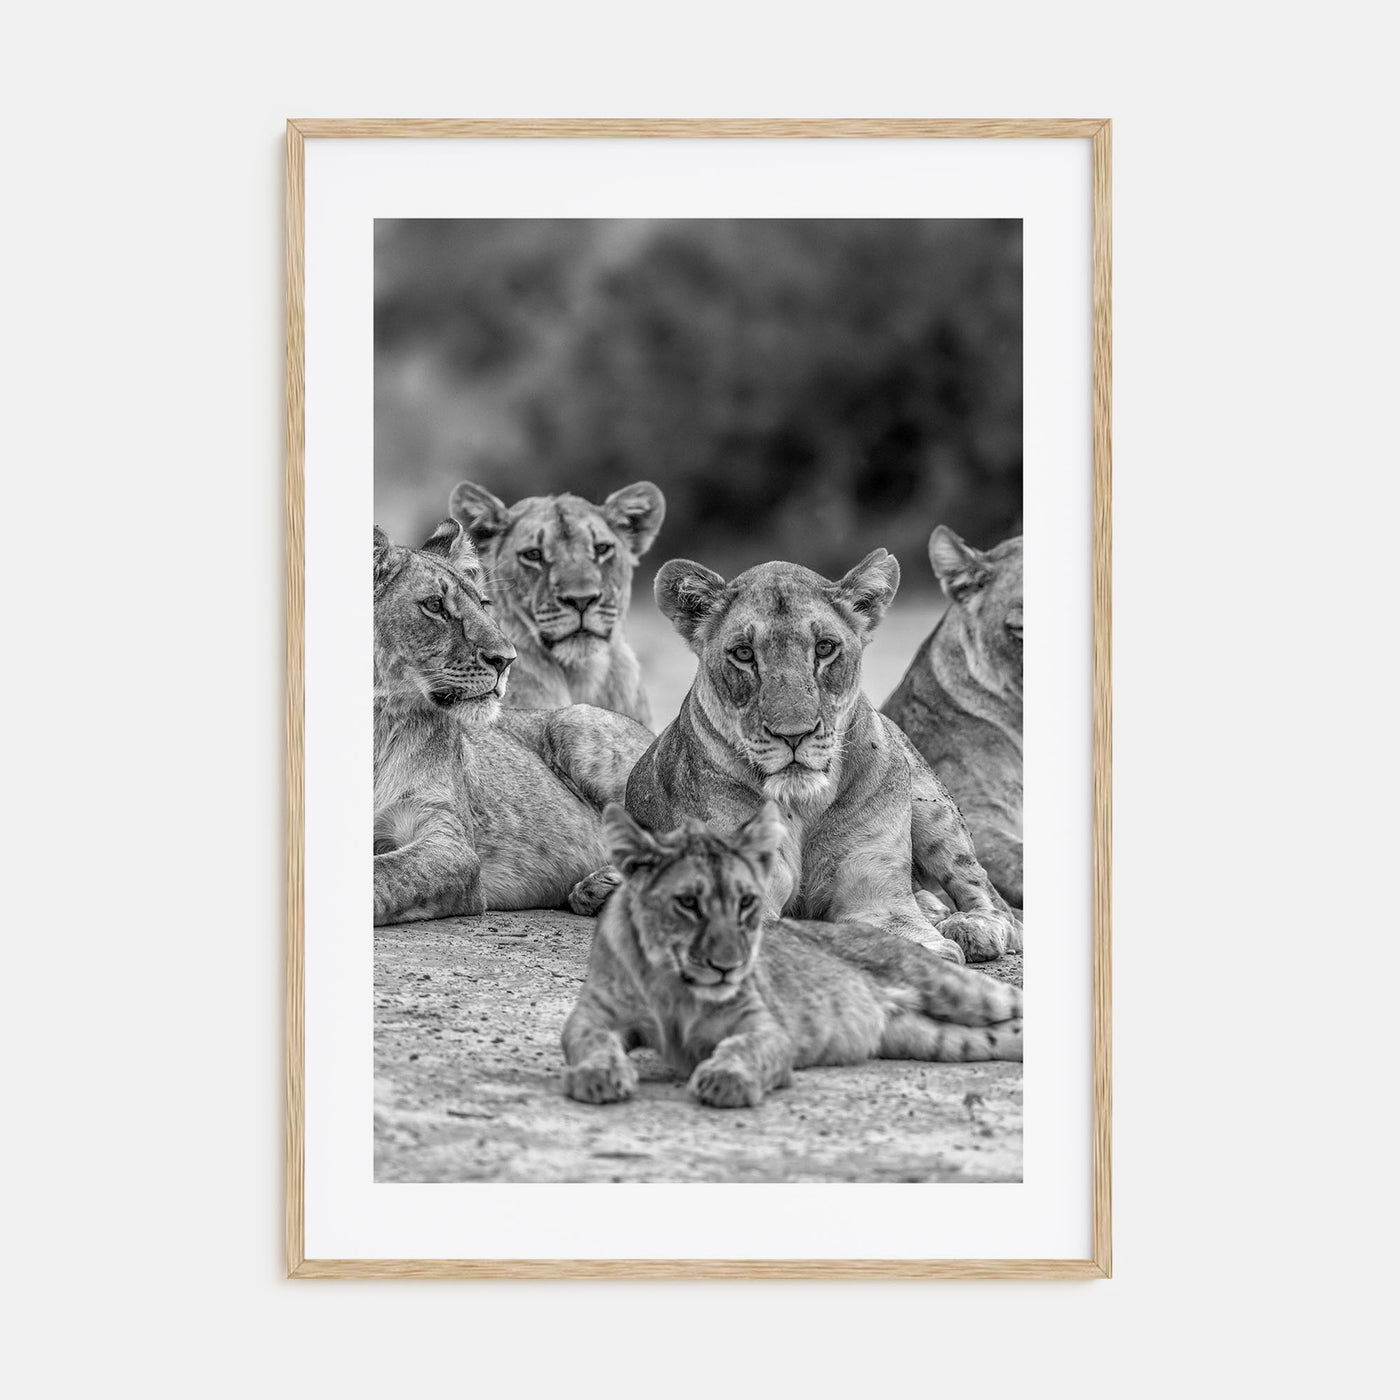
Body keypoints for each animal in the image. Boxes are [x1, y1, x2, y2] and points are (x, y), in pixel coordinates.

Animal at [373, 520, 653, 926]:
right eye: (435, 606)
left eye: (484, 605)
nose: (506, 660)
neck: (378, 723)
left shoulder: (451, 845)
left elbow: (383, 874)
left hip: (574, 720)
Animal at [562, 803, 1023, 1109]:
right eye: (688, 903)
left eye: (747, 902)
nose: (729, 964)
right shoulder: (592, 1017)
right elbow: (590, 1041)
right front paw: (599, 1076)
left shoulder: (766, 1027)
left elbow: (745, 1048)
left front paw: (726, 1080)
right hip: (931, 1038)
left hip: (955, 987)